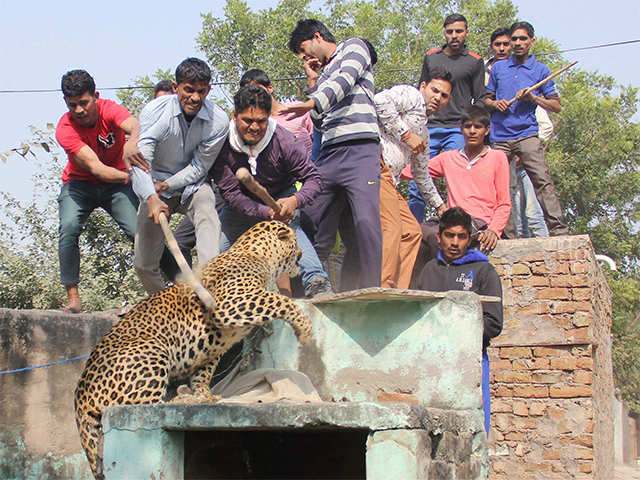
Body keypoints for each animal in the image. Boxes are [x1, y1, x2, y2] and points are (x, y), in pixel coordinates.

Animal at [74, 222, 314, 480]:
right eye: (295, 242)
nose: (302, 252)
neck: (260, 256)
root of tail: (80, 393)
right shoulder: (230, 303)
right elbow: (279, 300)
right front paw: (305, 328)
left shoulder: (212, 349)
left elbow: (203, 373)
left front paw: (205, 396)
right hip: (153, 350)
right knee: (141, 406)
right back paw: (178, 398)